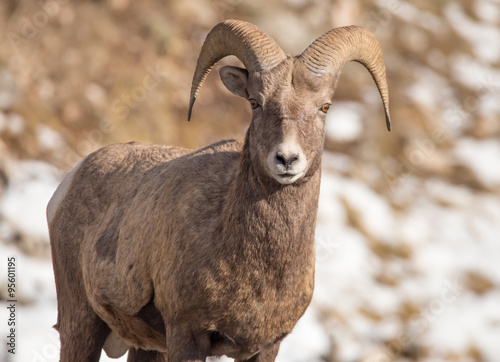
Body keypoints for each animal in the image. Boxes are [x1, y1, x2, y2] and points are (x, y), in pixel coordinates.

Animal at [47, 19, 390, 362]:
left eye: (325, 106)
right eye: (255, 102)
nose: (287, 159)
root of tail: (69, 183)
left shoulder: (266, 347)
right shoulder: (187, 334)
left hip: (146, 348)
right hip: (81, 323)